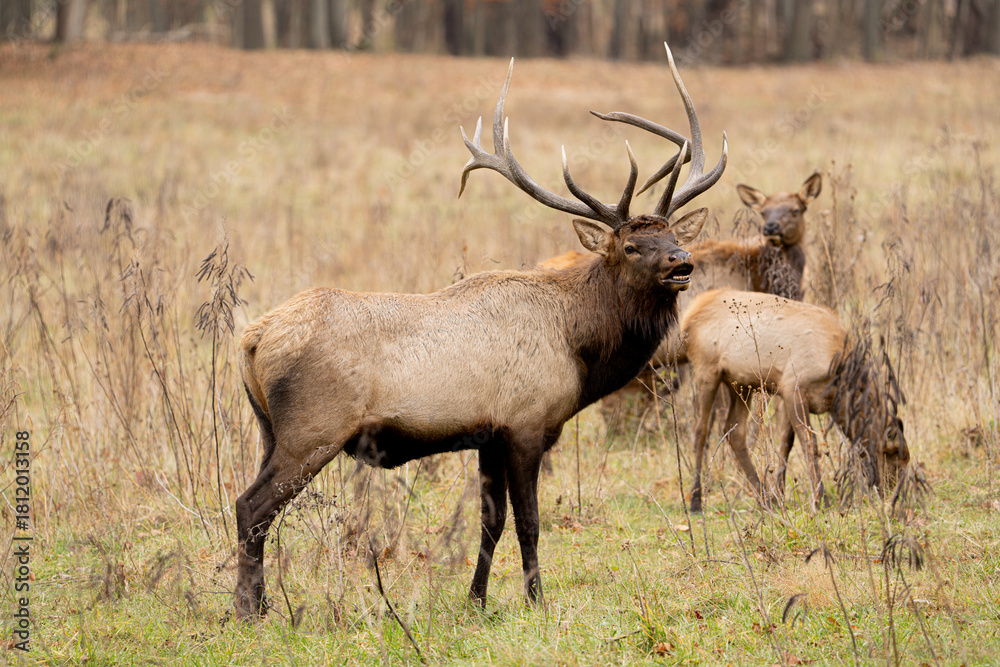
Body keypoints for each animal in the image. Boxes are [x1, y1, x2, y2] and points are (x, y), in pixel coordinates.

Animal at [234, 43, 728, 619]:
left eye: (673, 235)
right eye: (630, 246)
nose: (681, 263)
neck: (578, 349)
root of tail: (251, 340)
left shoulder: (489, 434)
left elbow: (491, 522)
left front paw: (476, 599)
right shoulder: (526, 423)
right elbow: (529, 522)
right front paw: (537, 600)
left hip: (270, 430)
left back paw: (260, 603)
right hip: (313, 430)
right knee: (251, 506)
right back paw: (249, 610)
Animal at [678, 289, 910, 512]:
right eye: (892, 455)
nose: (892, 493)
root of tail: (687, 318)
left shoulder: (786, 391)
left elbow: (786, 443)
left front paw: (780, 493)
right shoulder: (793, 387)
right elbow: (809, 443)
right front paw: (820, 500)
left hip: (740, 384)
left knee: (735, 432)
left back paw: (765, 498)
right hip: (707, 369)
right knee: (701, 431)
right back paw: (695, 500)